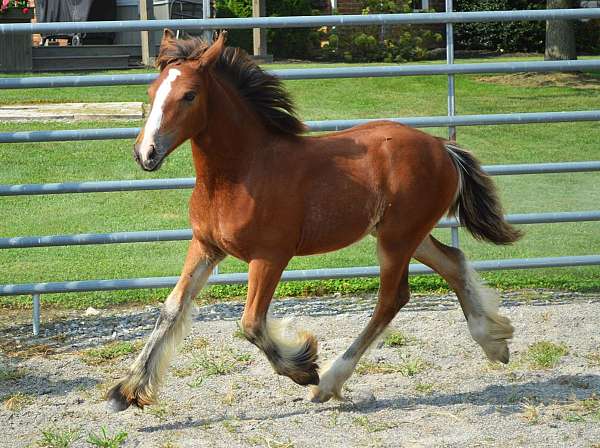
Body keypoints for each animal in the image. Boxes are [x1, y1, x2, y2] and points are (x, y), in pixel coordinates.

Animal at [108, 29, 520, 412]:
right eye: (152, 91)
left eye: (189, 95)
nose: (145, 153)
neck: (243, 171)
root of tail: (443, 148)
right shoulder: (206, 247)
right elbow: (172, 308)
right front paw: (127, 390)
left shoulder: (270, 256)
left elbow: (251, 323)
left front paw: (304, 367)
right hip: (407, 234)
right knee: (453, 261)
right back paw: (494, 342)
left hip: (396, 240)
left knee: (392, 298)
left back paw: (328, 383)